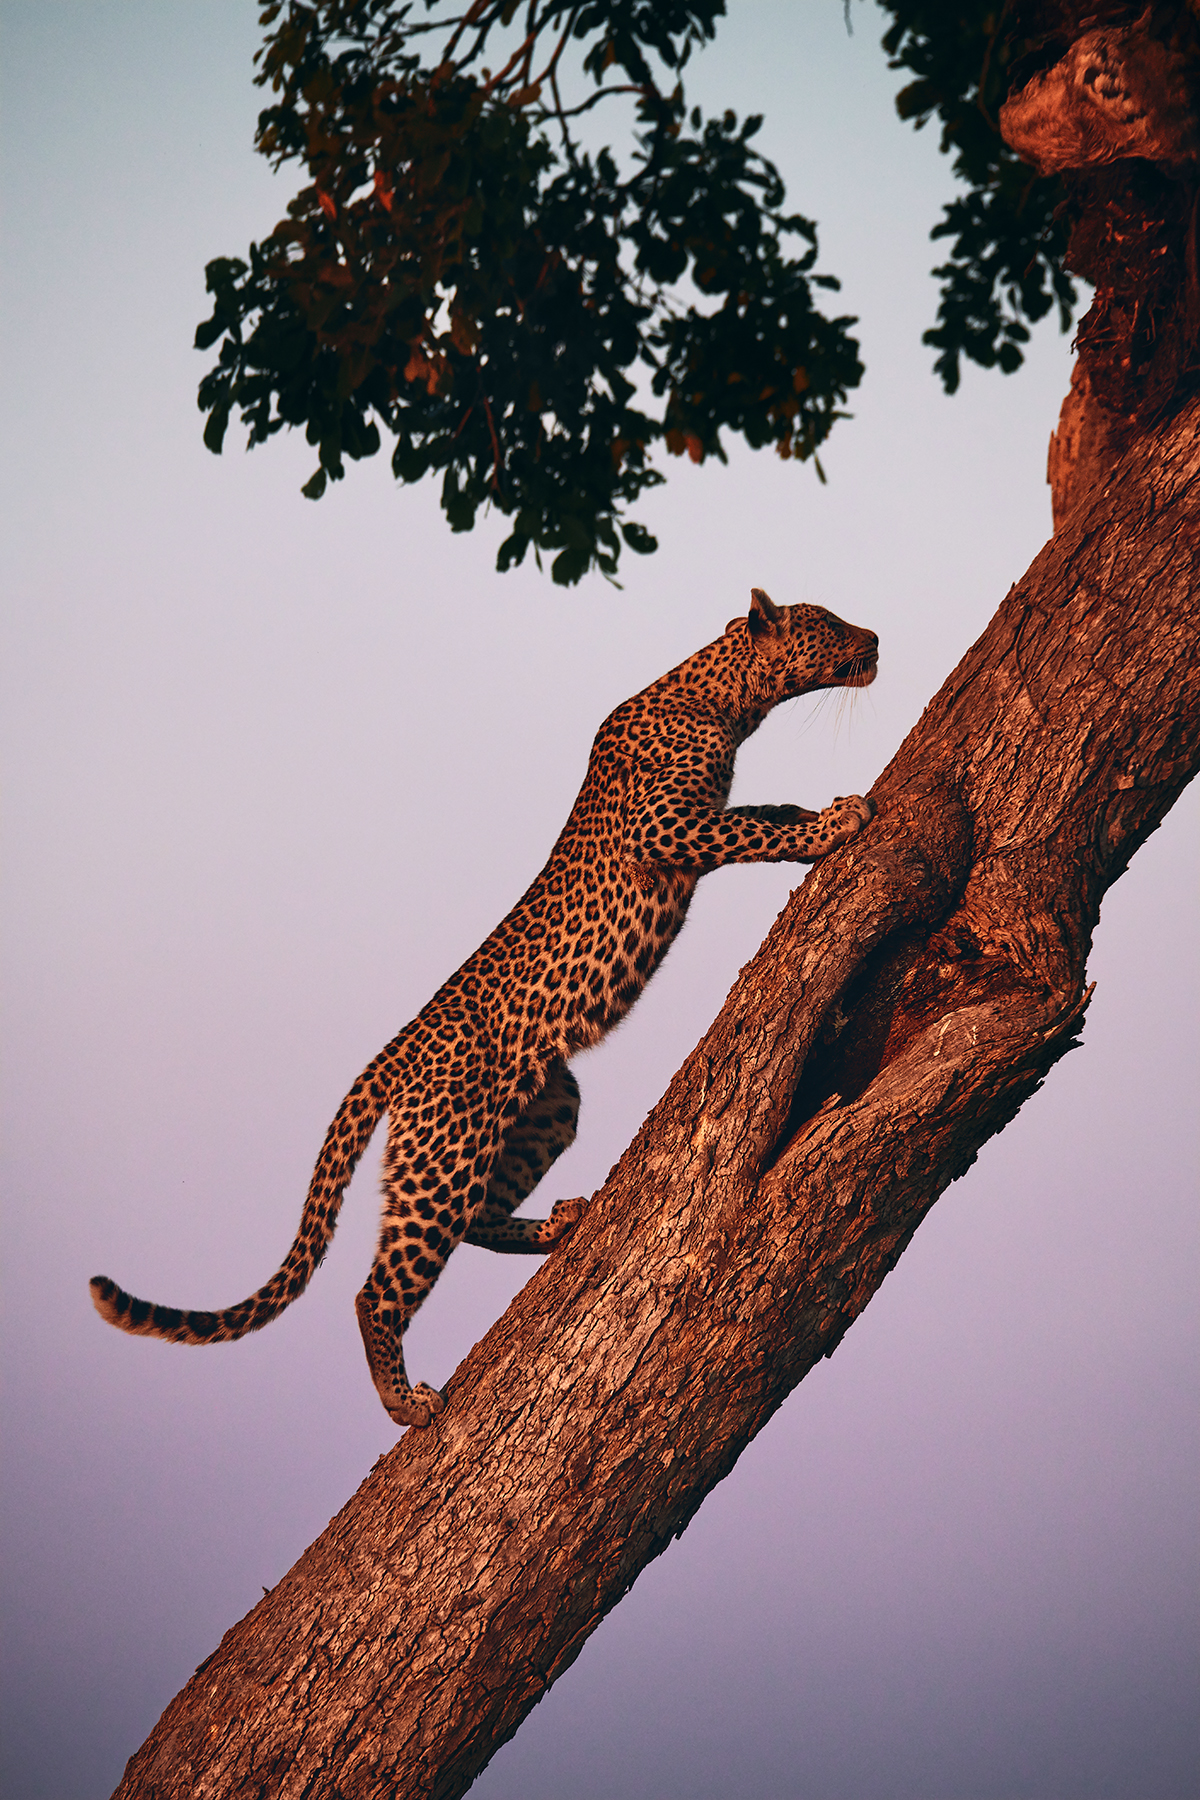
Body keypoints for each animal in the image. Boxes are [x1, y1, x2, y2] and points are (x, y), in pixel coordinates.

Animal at [91, 589, 879, 1429]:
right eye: (827, 623)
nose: (875, 638)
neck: (722, 700)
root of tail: (394, 1054)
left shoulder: (701, 812)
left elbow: (768, 806)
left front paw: (827, 807)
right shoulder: (666, 825)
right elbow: (756, 829)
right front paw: (833, 827)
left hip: (547, 1104)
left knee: (477, 1219)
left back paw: (557, 1225)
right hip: (446, 1147)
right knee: (380, 1287)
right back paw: (405, 1402)